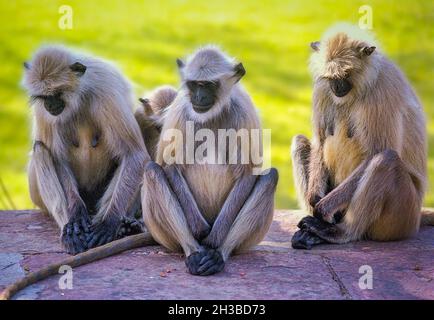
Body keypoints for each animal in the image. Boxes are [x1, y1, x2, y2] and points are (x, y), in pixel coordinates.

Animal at [142, 46, 278, 276]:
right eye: (193, 84)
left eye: (208, 85)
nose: (198, 96)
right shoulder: (180, 110)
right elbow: (169, 165)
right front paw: (199, 228)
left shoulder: (243, 111)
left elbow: (248, 171)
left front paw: (215, 238)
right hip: (163, 236)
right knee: (152, 170)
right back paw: (194, 252)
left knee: (270, 177)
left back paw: (217, 255)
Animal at [288, 24, 434, 250]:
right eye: (332, 78)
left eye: (346, 74)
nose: (337, 88)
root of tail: (417, 217)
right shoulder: (322, 88)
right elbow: (320, 141)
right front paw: (314, 199)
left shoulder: (382, 89)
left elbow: (376, 152)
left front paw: (322, 209)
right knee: (300, 141)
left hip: (402, 216)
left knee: (386, 159)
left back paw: (339, 232)